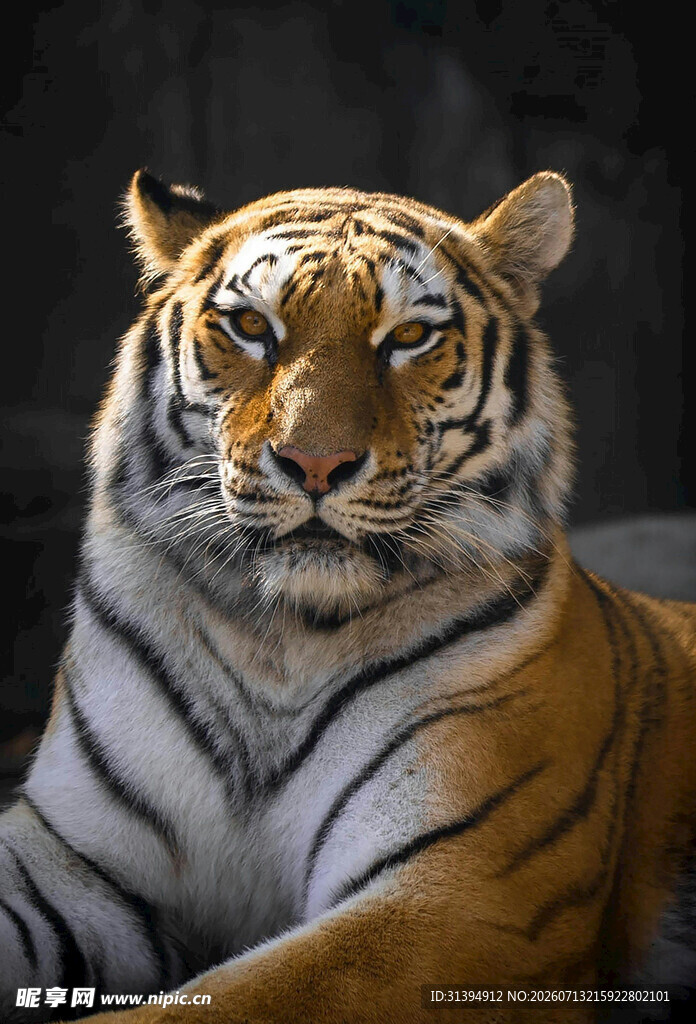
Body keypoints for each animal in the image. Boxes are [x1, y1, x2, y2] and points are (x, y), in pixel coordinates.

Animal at [0, 168, 694, 1024]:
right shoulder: (69, 852)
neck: (278, 639)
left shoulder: (462, 896)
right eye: (250, 326)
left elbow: (226, 1000)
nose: (315, 463)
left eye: (408, 337)